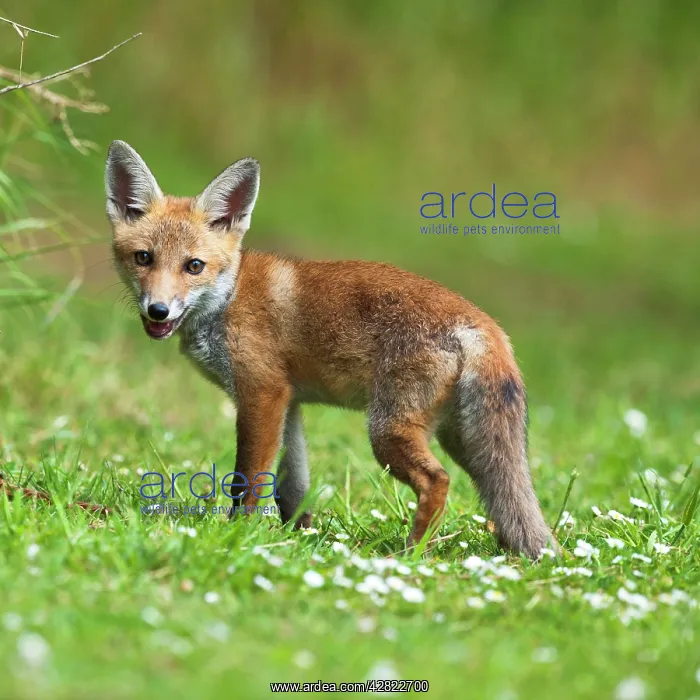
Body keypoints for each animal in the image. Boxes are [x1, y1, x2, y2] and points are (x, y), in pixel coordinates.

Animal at [105, 140, 553, 558]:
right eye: (143, 258)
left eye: (194, 266)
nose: (158, 310)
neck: (227, 298)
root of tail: (484, 322)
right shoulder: (289, 401)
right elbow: (293, 485)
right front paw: (298, 537)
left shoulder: (261, 393)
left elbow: (248, 479)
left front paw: (239, 533)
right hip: (463, 439)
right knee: (501, 497)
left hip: (387, 431)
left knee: (438, 480)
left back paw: (413, 552)